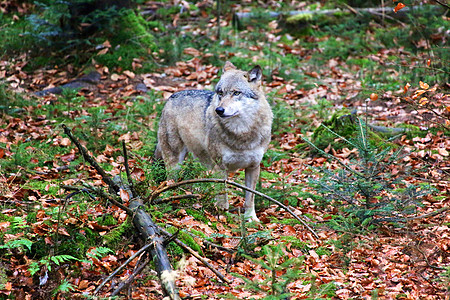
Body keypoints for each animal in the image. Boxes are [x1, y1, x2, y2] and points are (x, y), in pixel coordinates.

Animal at [155, 61, 274, 221]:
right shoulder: (220, 167)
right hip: (175, 161)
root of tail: (171, 96)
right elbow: (223, 198)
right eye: (221, 93)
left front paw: (251, 219)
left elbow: (250, 198)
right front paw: (224, 219)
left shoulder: (253, 167)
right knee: (170, 181)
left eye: (236, 93)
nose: (219, 110)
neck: (242, 134)